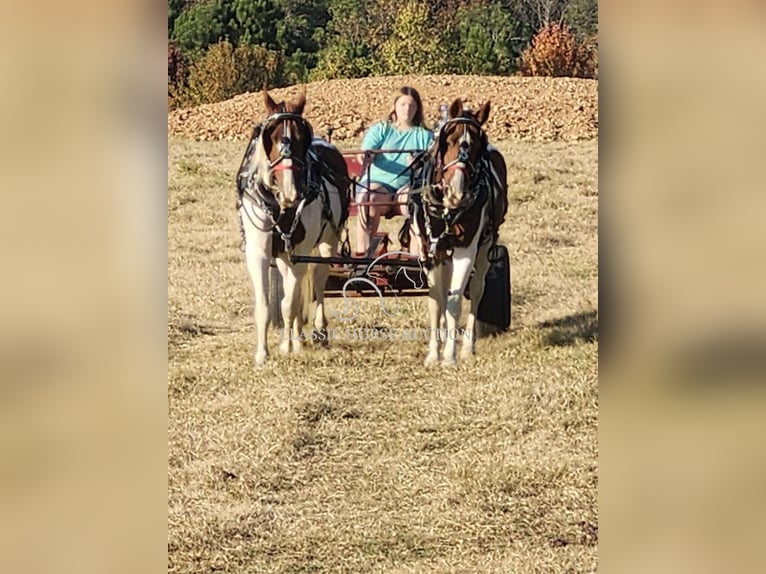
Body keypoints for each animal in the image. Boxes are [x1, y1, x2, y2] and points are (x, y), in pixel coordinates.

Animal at [237, 90, 352, 368]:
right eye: (271, 137)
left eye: (301, 139)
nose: (291, 192)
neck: (280, 205)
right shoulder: (259, 253)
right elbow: (266, 306)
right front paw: (263, 354)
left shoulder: (299, 252)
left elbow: (289, 303)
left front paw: (287, 347)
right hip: (284, 255)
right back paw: (298, 335)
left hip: (326, 243)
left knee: (318, 281)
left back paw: (317, 332)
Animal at [408, 98, 510, 368]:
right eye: (449, 140)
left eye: (477, 145)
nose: (457, 190)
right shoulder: (430, 251)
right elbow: (436, 301)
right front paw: (434, 353)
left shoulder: (466, 249)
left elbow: (454, 302)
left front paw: (450, 355)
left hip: (486, 247)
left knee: (476, 290)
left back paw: (467, 347)